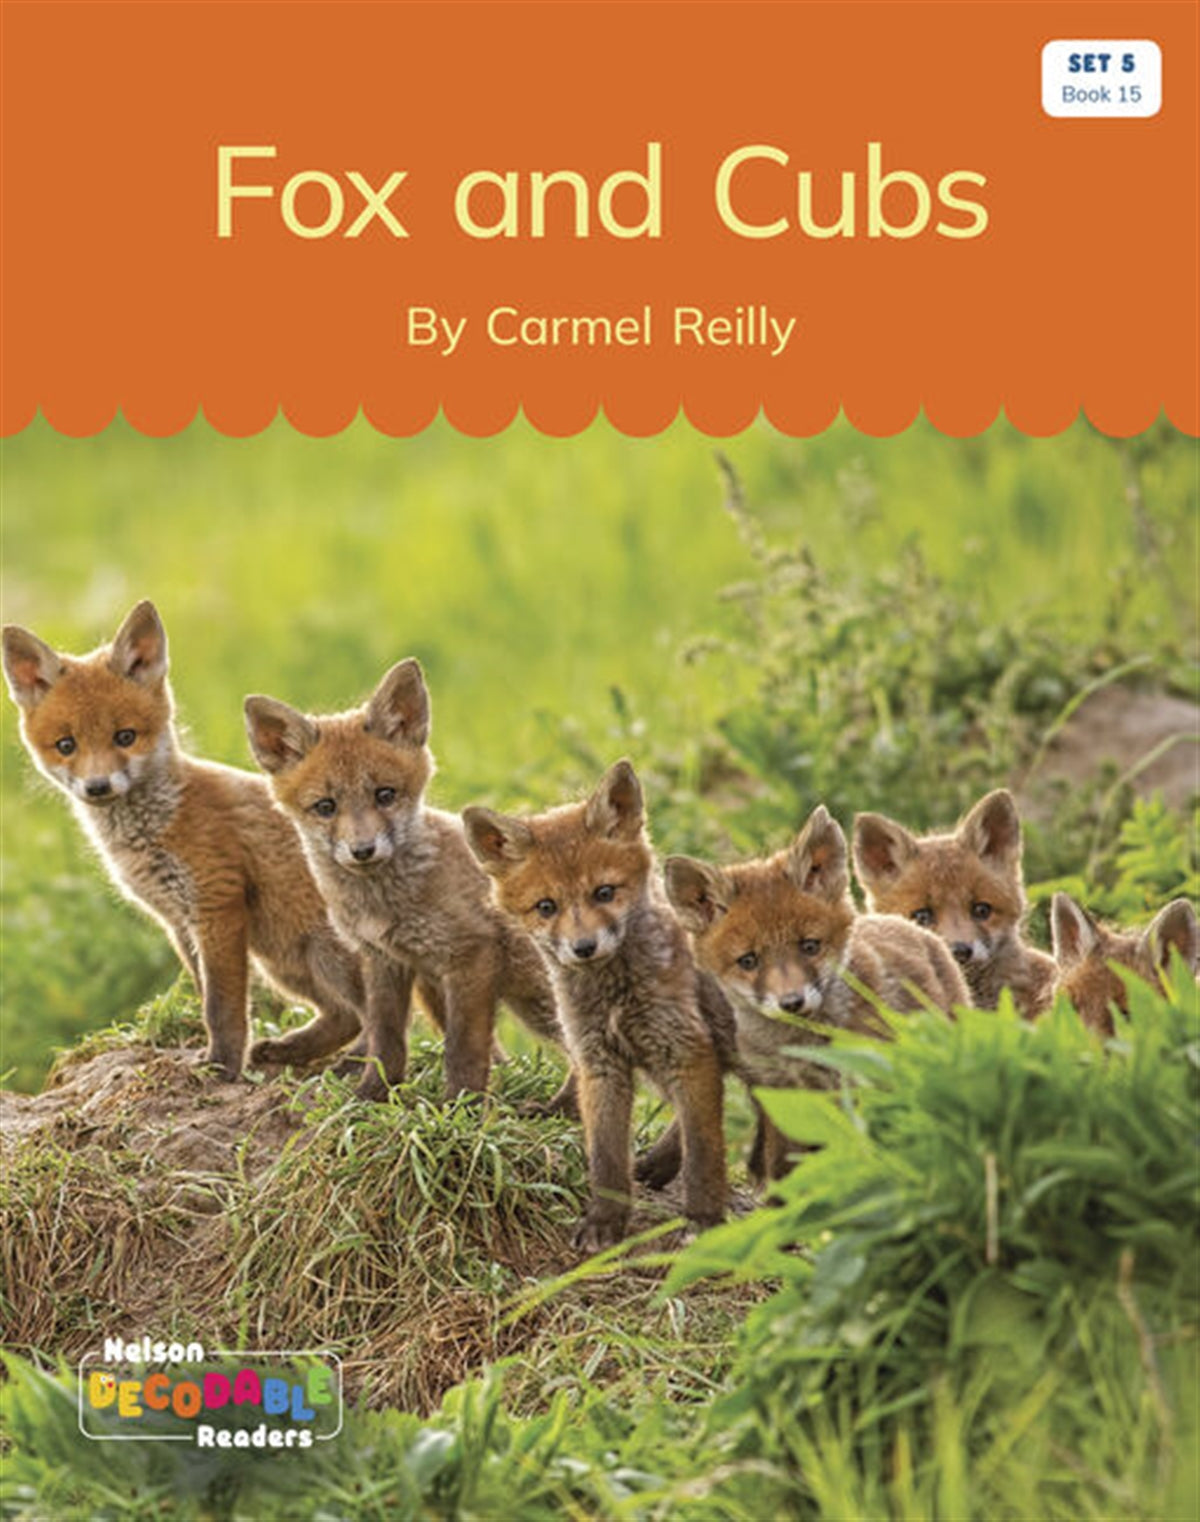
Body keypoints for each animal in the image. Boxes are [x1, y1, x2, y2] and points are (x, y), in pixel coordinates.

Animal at [2, 601, 368, 1082]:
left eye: (125, 736)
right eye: (66, 745)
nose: (98, 787)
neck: (153, 830)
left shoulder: (217, 903)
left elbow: (221, 1005)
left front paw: (222, 1067)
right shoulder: (179, 921)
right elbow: (205, 991)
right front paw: (223, 1059)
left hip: (322, 951)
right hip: (285, 958)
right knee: (345, 1016)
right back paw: (291, 1051)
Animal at [244, 659, 570, 1106]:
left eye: (385, 795)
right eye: (325, 807)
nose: (363, 850)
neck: (386, 905)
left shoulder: (473, 954)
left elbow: (464, 1048)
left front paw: (461, 1105)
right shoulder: (385, 960)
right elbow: (387, 1041)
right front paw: (372, 1094)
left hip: (539, 997)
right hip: (444, 992)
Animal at [464, 760, 730, 1250]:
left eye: (604, 893)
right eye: (546, 906)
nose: (583, 947)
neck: (613, 998)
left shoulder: (687, 1049)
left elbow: (705, 1151)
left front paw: (703, 1219)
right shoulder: (598, 1061)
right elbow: (604, 1156)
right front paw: (605, 1221)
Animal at [665, 805, 967, 1184]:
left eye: (810, 946)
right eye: (748, 961)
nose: (791, 1002)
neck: (800, 1050)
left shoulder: (857, 1083)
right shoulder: (779, 1094)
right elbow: (782, 1168)